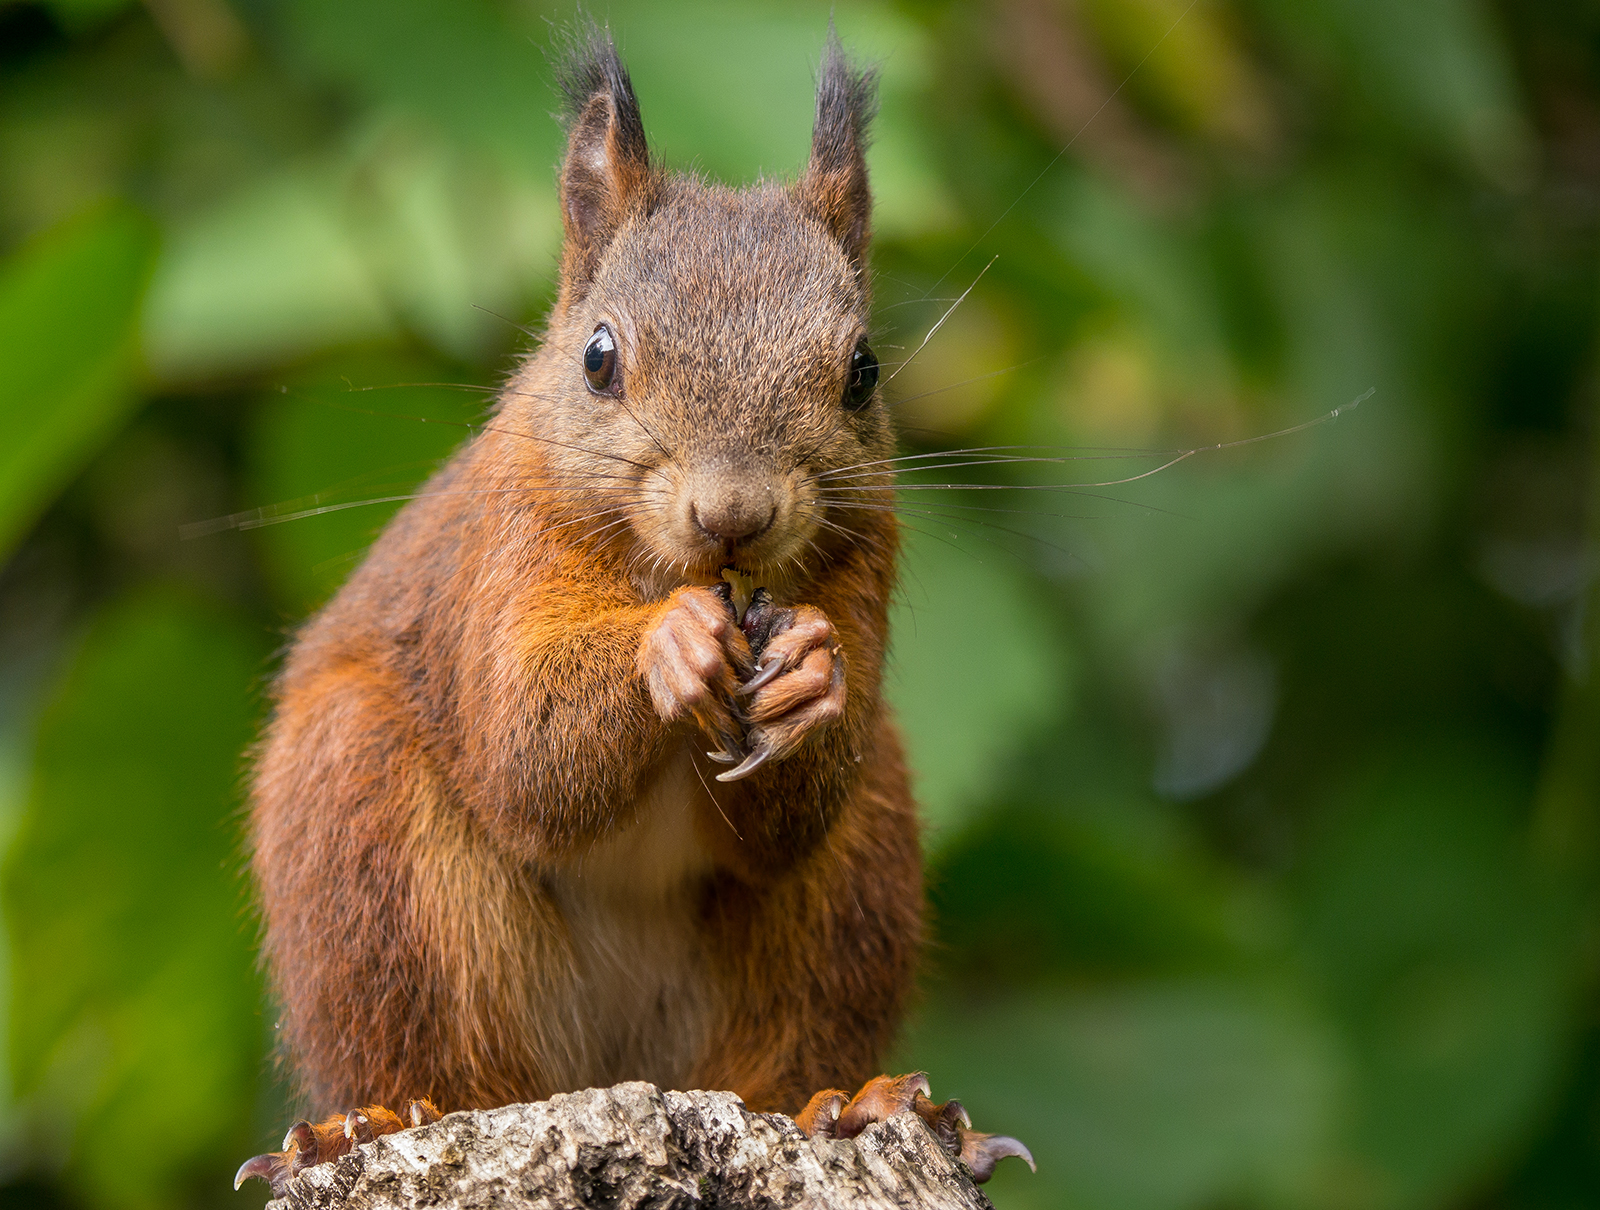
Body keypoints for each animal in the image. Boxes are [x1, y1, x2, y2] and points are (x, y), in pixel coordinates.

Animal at [236, 23, 1036, 1197]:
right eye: (599, 357)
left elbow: (787, 821)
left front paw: (812, 670)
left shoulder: (864, 563)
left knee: (783, 1030)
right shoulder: (503, 555)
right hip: (364, 833)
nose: (733, 514)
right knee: (440, 1050)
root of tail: (612, 1070)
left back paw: (848, 1105)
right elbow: (523, 747)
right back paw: (372, 1123)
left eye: (863, 371)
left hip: (858, 878)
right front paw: (671, 644)